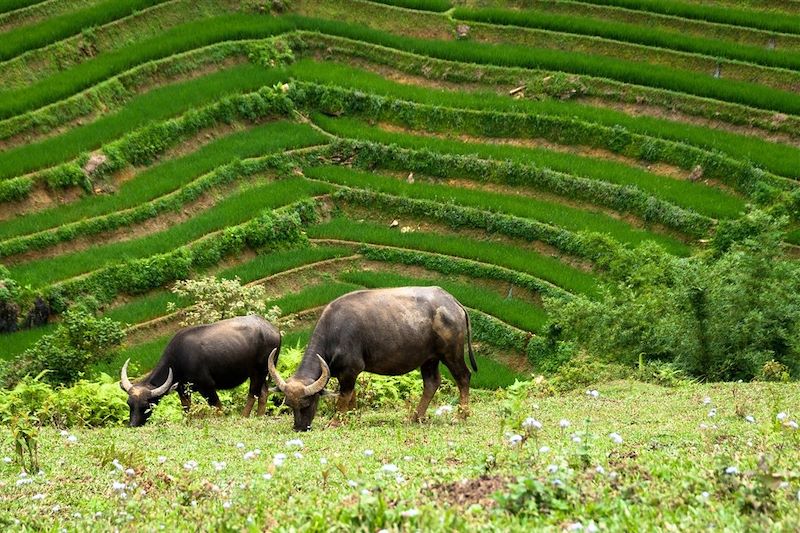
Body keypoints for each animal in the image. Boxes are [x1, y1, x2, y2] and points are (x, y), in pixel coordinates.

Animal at [117, 314, 282, 426]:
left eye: (146, 406)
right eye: (129, 404)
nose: (133, 425)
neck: (179, 358)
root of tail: (274, 330)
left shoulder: (207, 387)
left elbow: (218, 409)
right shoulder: (183, 390)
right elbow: (187, 409)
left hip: (258, 372)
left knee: (253, 394)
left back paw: (244, 417)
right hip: (266, 372)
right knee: (263, 393)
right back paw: (260, 416)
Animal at [268, 284, 476, 430]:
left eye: (308, 403)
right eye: (289, 404)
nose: (299, 427)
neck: (334, 332)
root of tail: (452, 302)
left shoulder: (350, 370)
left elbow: (343, 396)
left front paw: (335, 422)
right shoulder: (347, 373)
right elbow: (350, 396)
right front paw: (349, 418)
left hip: (451, 353)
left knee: (463, 377)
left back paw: (461, 415)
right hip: (429, 359)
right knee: (432, 382)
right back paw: (415, 416)